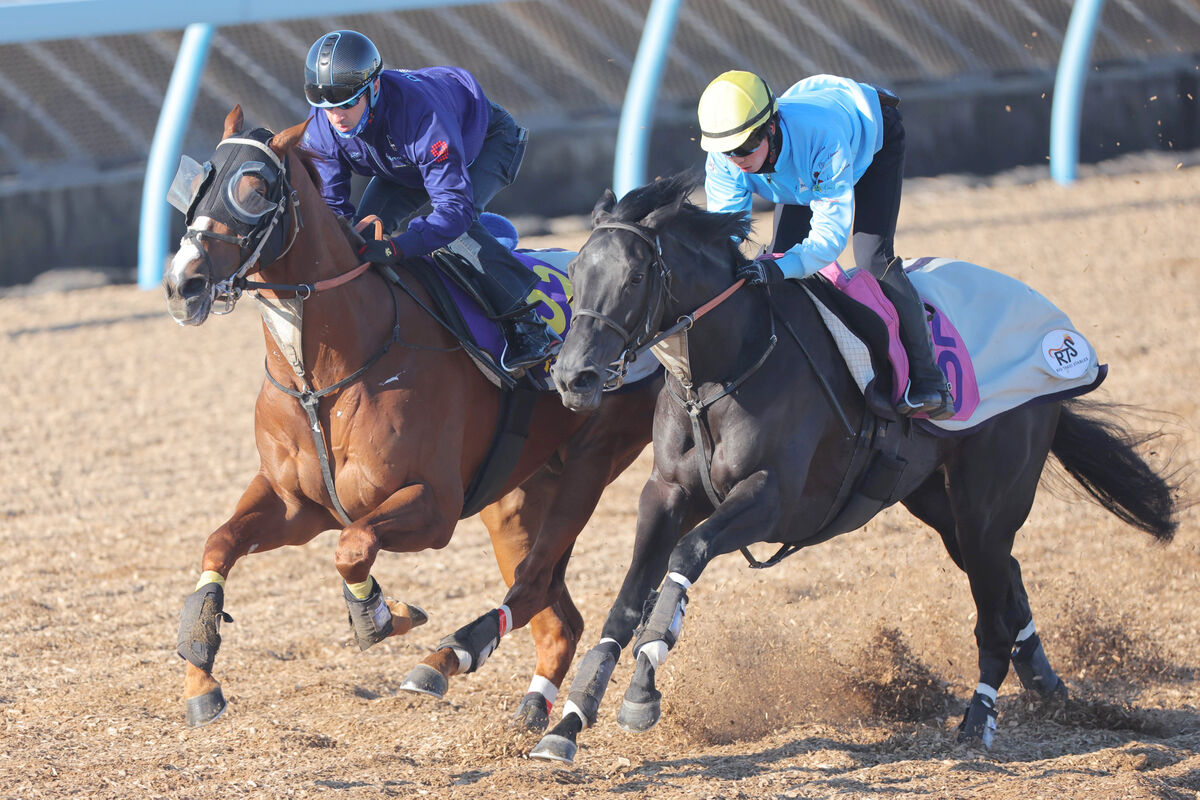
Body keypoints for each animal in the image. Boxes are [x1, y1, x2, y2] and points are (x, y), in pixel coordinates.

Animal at [160, 107, 657, 734]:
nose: (183, 284)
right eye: (197, 184)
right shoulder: (295, 504)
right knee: (557, 619)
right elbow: (219, 542)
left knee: (537, 584)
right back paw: (528, 707)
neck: (322, 378)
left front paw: (380, 615)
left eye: (254, 190)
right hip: (516, 499)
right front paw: (200, 672)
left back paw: (442, 663)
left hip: (590, 463)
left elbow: (352, 546)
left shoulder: (433, 506)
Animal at [530, 173, 1176, 762]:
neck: (723, 371)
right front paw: (568, 722)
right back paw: (1048, 688)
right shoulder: (665, 493)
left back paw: (979, 721)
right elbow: (627, 598)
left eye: (636, 277)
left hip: (988, 501)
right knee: (1007, 585)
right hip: (938, 502)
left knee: (993, 608)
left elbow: (686, 557)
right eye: (576, 272)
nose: (573, 377)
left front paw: (642, 686)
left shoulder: (773, 499)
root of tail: (1060, 338)